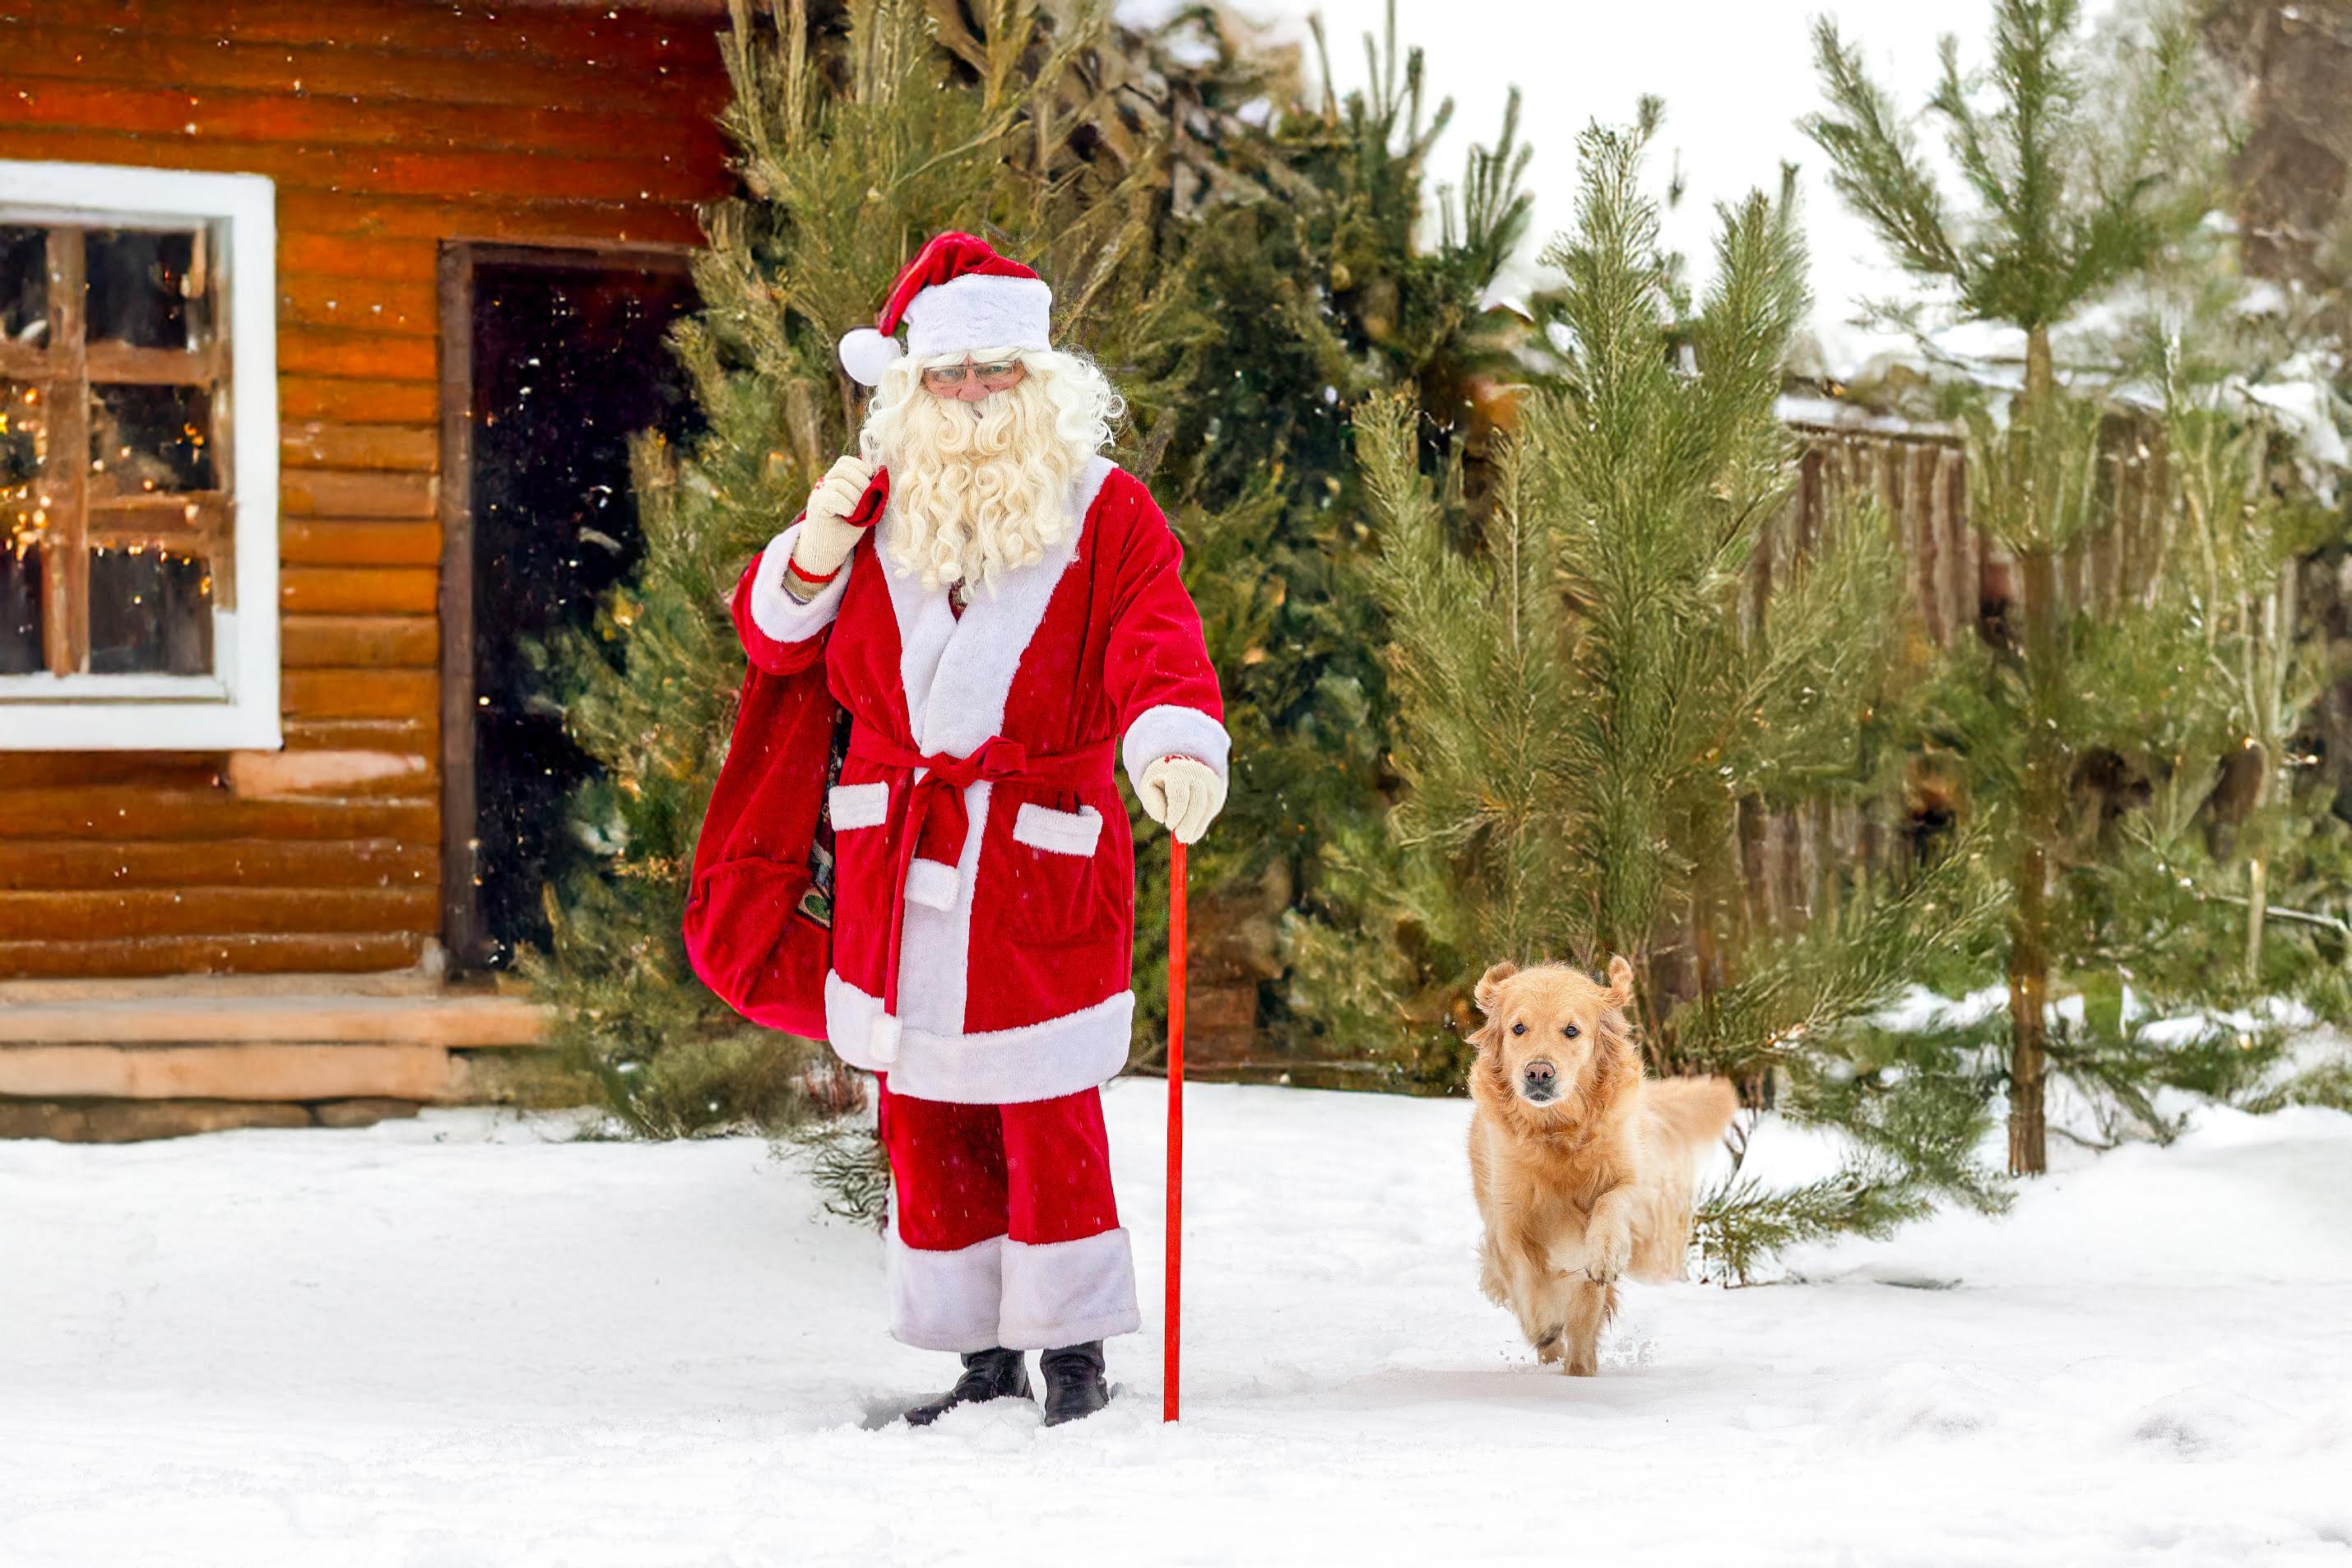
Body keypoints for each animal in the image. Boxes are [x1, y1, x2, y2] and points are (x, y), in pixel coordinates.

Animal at [1458, 958, 1740, 1372]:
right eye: (1518, 1028)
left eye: (1571, 1030)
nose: (1538, 1072)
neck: (1558, 1133)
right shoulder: (1506, 1216)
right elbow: (1522, 1271)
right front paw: (1543, 1323)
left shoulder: (1630, 1178)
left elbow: (1612, 1201)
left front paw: (1604, 1254)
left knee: (1583, 1323)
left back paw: (1580, 1368)